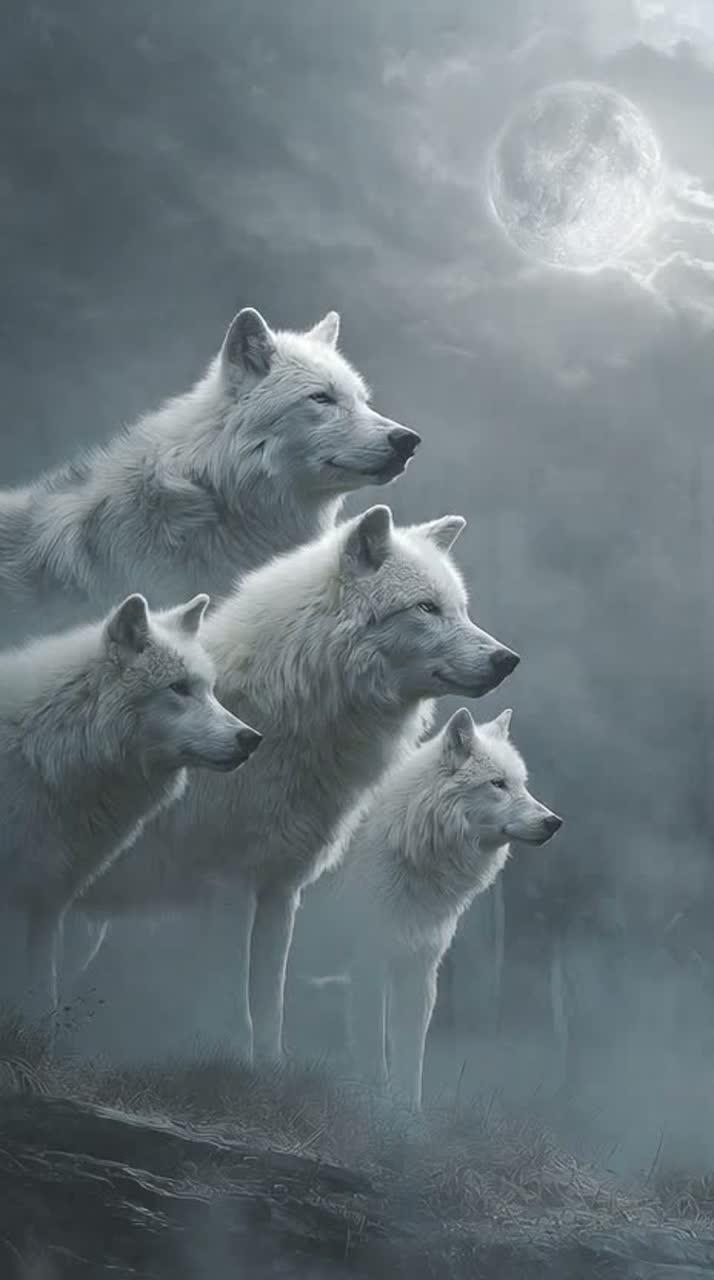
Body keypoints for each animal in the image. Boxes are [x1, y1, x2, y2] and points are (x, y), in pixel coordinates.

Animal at [78, 505, 520, 1064]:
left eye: (460, 609)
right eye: (427, 607)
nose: (508, 659)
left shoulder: (280, 889)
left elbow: (270, 1010)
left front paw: (266, 1075)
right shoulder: (227, 890)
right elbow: (236, 1013)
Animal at [324, 706, 562, 1110]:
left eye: (522, 784)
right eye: (498, 784)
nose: (554, 822)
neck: (406, 839)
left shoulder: (420, 965)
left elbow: (410, 1056)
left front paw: (407, 1114)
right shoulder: (369, 959)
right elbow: (373, 1049)